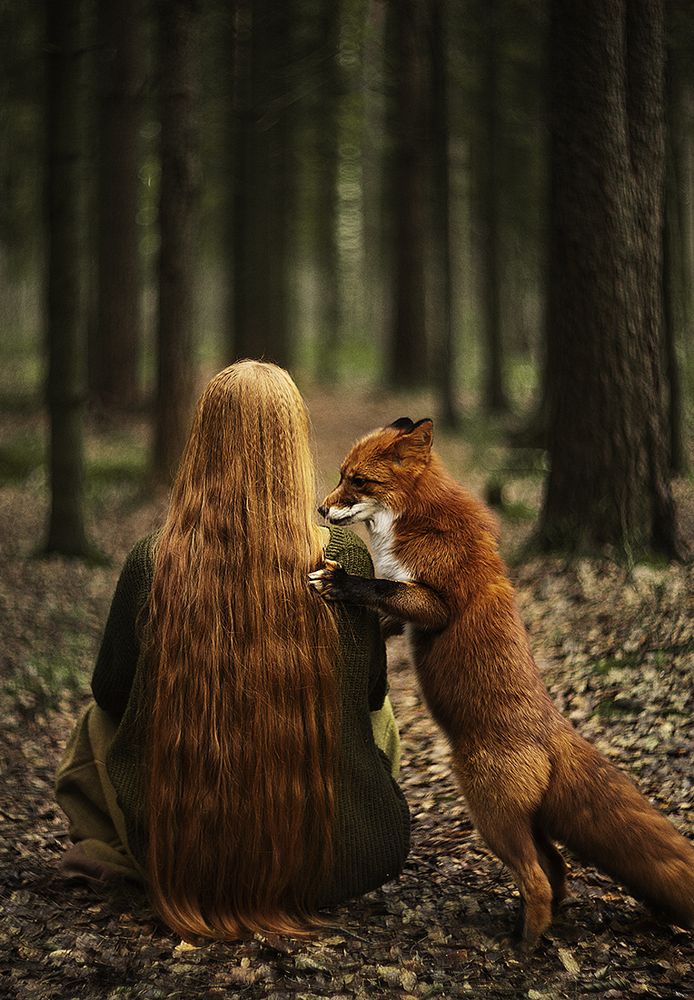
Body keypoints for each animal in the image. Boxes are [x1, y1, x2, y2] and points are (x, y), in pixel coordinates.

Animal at [309, 416, 694, 948]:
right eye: (342, 476)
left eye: (358, 481)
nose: (321, 508)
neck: (413, 520)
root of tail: (554, 730)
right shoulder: (407, 616)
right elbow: (385, 611)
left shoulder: (434, 603)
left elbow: (382, 587)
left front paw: (342, 583)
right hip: (525, 824)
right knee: (557, 871)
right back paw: (539, 923)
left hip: (489, 814)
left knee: (537, 880)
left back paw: (524, 944)